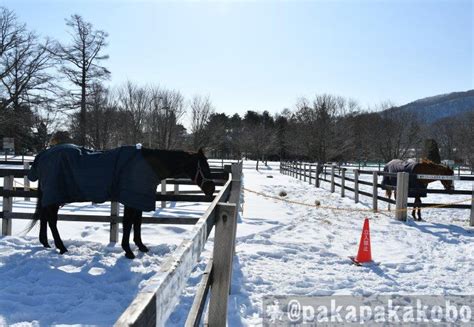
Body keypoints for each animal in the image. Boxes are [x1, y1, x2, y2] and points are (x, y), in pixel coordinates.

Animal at [26, 145, 216, 260]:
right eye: (204, 166)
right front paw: (128, 250)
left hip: (51, 197)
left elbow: (137, 223)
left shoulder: (138, 199)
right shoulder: (131, 200)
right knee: (51, 220)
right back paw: (61, 247)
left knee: (45, 218)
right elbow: (128, 224)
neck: (146, 165)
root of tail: (43, 154)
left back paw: (46, 243)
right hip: (54, 197)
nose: (212, 188)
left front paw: (141, 246)